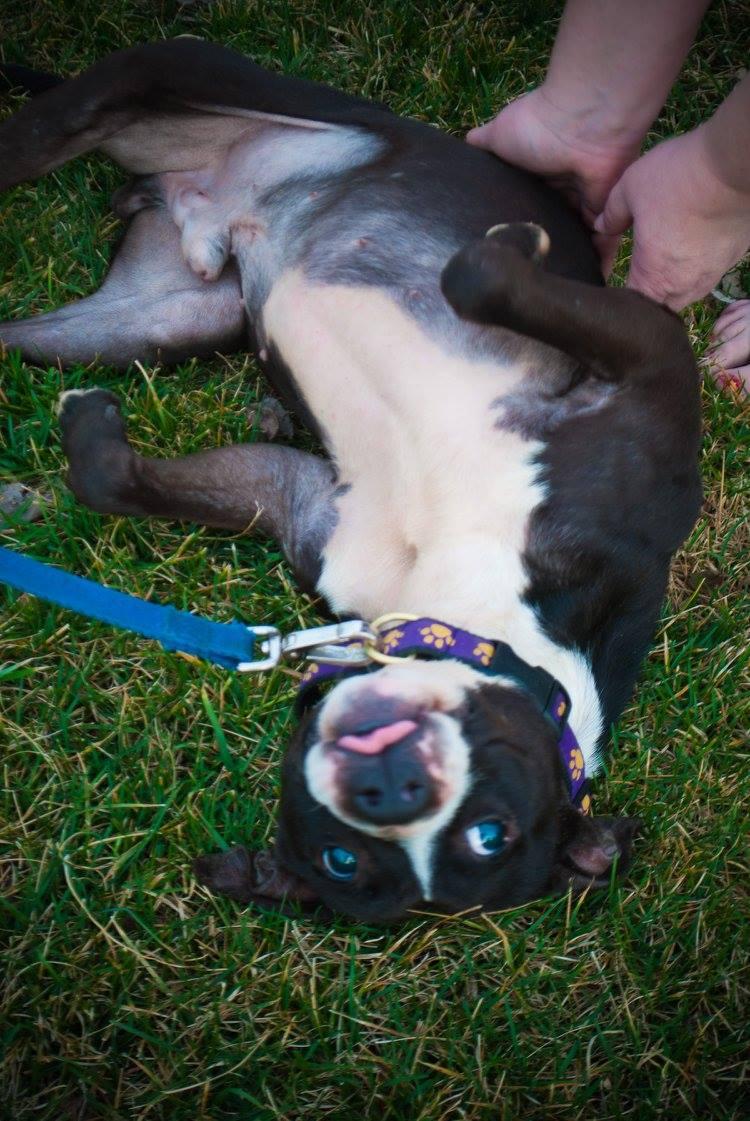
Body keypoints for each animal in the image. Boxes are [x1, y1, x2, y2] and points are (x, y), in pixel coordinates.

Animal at [0, 41, 704, 919]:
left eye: (488, 835)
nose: (391, 789)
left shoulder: (300, 500)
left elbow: (111, 476)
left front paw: (90, 429)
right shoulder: (651, 367)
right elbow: (480, 274)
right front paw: (522, 240)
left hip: (157, 324)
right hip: (181, 84)